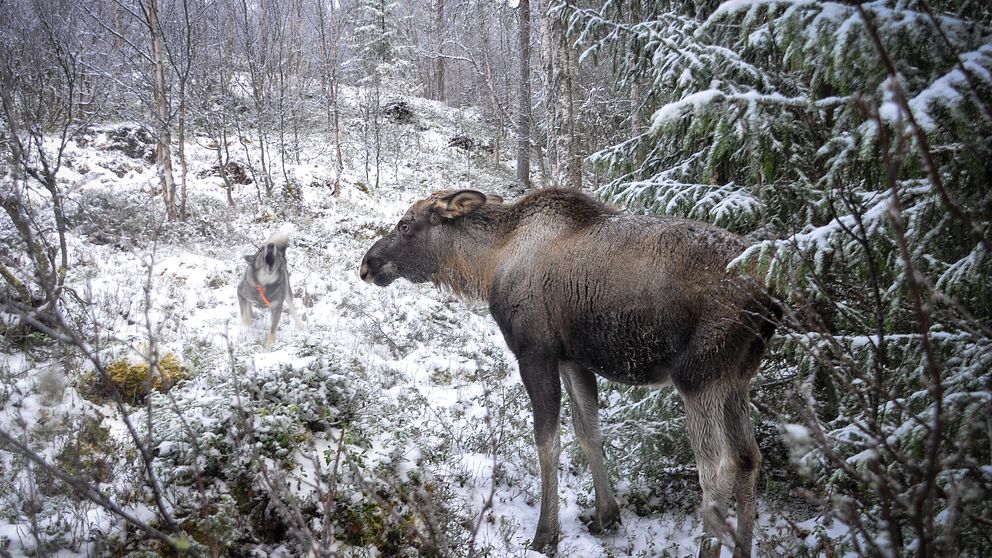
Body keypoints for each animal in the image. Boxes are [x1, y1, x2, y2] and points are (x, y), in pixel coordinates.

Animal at [360, 189, 780, 558]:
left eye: (405, 225)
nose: (367, 264)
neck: (488, 263)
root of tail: (771, 299)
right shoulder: (572, 360)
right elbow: (588, 431)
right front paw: (607, 515)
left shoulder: (535, 353)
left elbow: (548, 441)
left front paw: (546, 534)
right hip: (736, 380)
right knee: (749, 458)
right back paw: (743, 549)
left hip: (698, 377)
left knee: (718, 469)